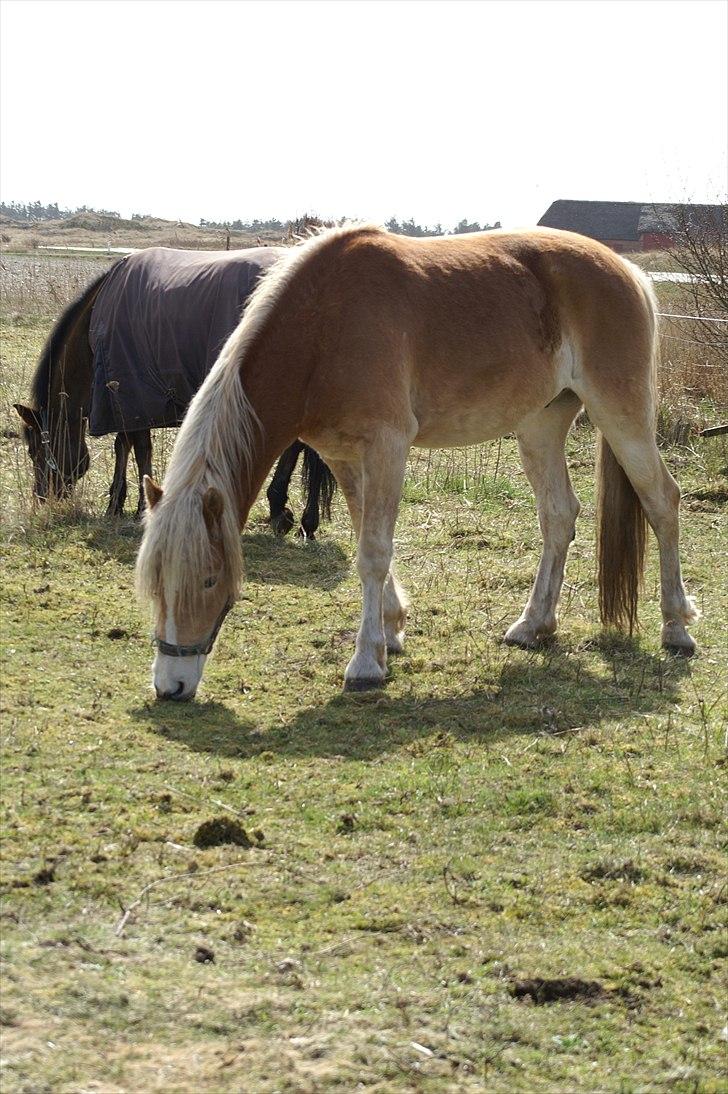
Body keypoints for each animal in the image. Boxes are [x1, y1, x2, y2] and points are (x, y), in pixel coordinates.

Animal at [136, 223, 700, 700]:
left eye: (210, 580)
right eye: (156, 581)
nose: (171, 686)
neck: (325, 325)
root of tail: (629, 271)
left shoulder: (387, 445)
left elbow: (373, 552)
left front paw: (366, 663)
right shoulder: (343, 456)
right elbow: (365, 538)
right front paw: (391, 629)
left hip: (620, 413)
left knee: (662, 501)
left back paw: (676, 628)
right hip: (541, 425)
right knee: (559, 517)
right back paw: (532, 626)